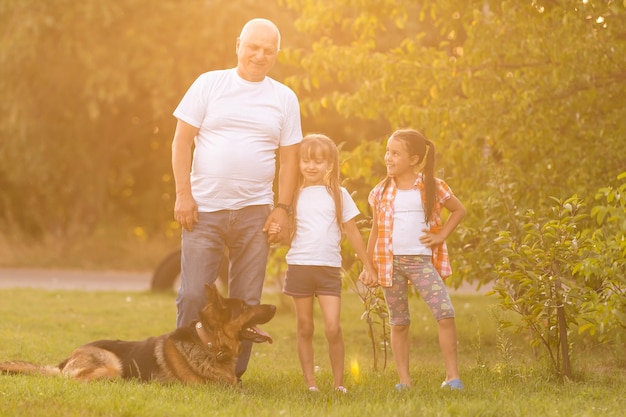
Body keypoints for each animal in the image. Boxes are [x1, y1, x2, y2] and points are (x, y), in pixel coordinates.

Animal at [0, 284, 276, 386]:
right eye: (245, 307)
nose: (274, 306)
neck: (208, 343)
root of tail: (66, 361)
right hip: (113, 366)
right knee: (78, 380)